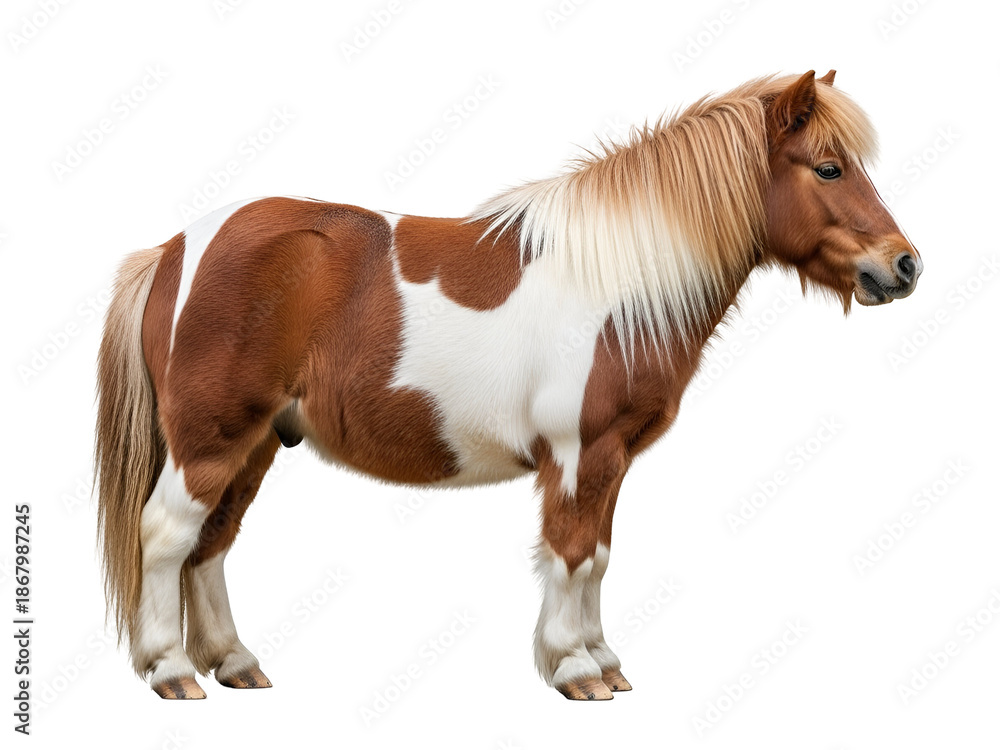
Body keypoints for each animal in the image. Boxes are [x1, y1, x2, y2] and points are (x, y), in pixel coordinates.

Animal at [95, 70, 923, 701]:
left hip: (256, 442)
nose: (905, 265)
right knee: (166, 537)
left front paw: (604, 662)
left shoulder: (610, 457)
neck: (617, 286)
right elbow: (571, 551)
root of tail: (174, 250)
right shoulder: (580, 453)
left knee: (211, 543)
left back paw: (235, 664)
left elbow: (598, 554)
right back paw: (172, 672)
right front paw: (577, 670)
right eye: (828, 168)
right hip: (210, 440)